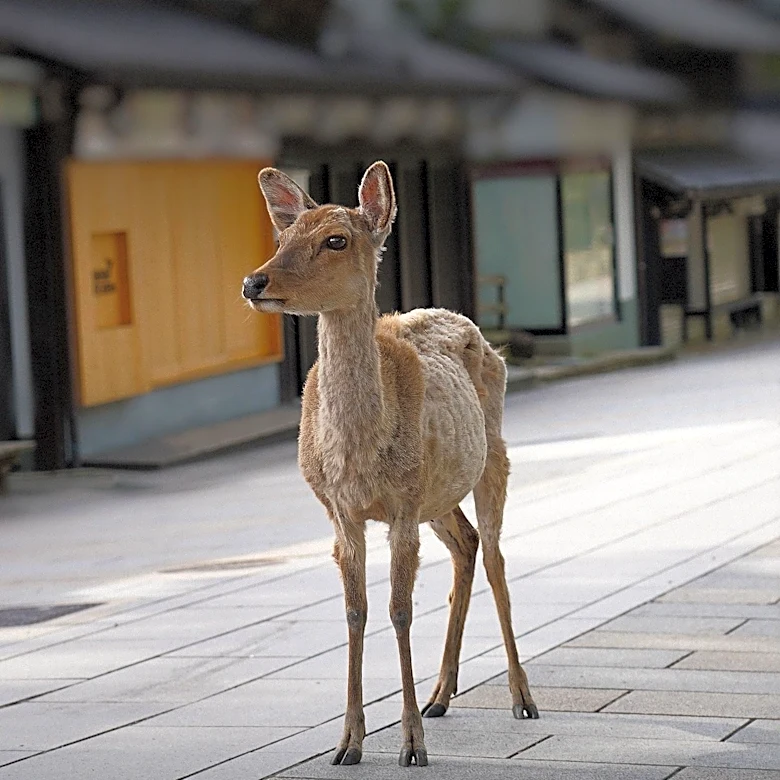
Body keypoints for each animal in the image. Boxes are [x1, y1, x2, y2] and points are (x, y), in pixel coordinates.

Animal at [242, 161, 538, 768]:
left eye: (336, 239)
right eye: (282, 238)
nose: (254, 282)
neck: (356, 454)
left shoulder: (401, 507)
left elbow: (400, 609)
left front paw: (411, 746)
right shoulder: (340, 512)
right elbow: (355, 611)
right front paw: (347, 743)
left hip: (491, 457)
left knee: (496, 555)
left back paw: (522, 698)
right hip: (438, 492)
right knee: (467, 544)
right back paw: (440, 694)